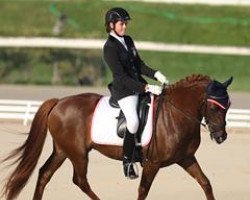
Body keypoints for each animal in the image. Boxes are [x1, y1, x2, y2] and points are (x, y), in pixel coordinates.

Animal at [1, 74, 232, 200]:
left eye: (228, 106)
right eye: (214, 107)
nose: (221, 137)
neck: (176, 114)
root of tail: (59, 102)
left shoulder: (185, 158)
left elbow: (205, 183)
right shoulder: (153, 163)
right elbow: (143, 191)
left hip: (62, 150)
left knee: (44, 174)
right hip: (78, 153)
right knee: (80, 180)